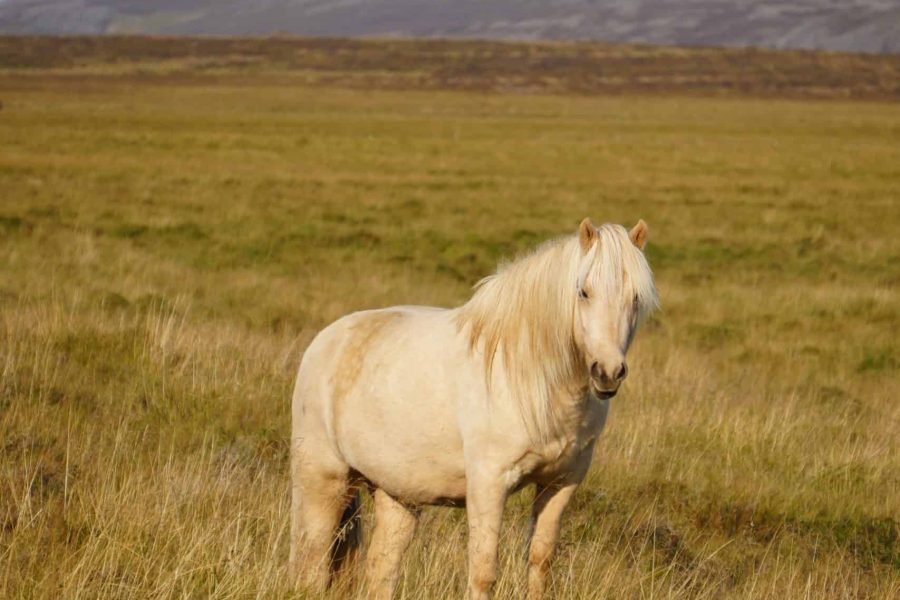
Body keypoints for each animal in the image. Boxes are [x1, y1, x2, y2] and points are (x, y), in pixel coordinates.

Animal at [292, 219, 656, 600]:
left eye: (635, 298)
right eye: (583, 292)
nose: (607, 372)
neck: (530, 377)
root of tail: (325, 340)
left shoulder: (560, 482)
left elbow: (540, 561)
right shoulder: (489, 484)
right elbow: (483, 571)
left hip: (396, 495)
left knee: (381, 569)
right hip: (323, 480)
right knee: (312, 559)